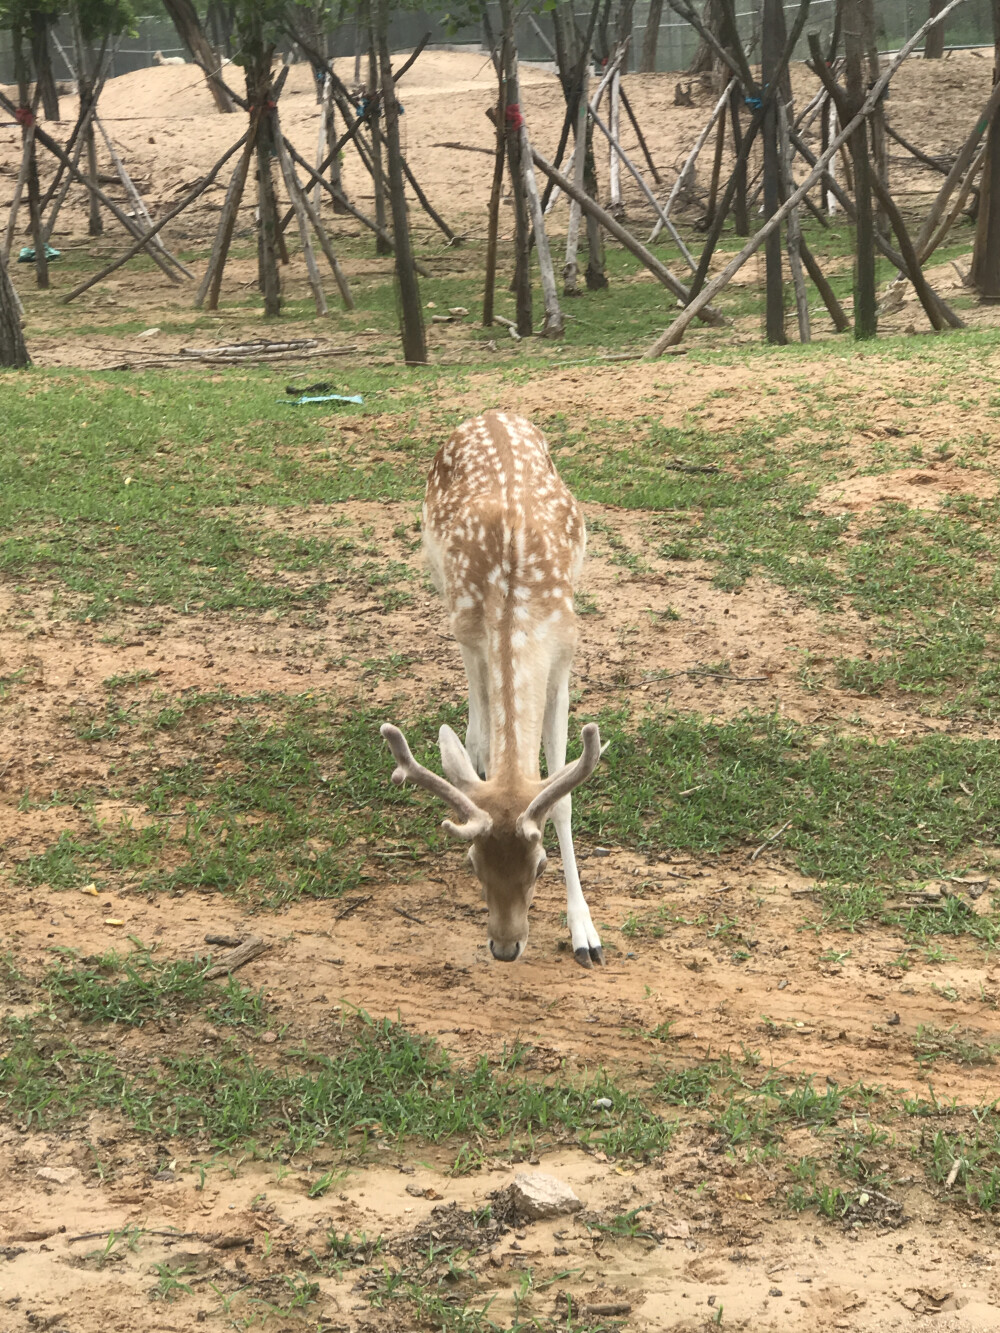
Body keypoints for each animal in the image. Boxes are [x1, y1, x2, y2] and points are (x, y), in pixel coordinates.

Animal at [378, 410, 608, 965]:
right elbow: (483, 722)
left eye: (540, 864)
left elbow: (561, 793)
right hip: (442, 586)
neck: (515, 604)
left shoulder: (564, 655)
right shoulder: (471, 630)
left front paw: (585, 933)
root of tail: (492, 415)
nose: (505, 947)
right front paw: (474, 762)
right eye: (472, 863)